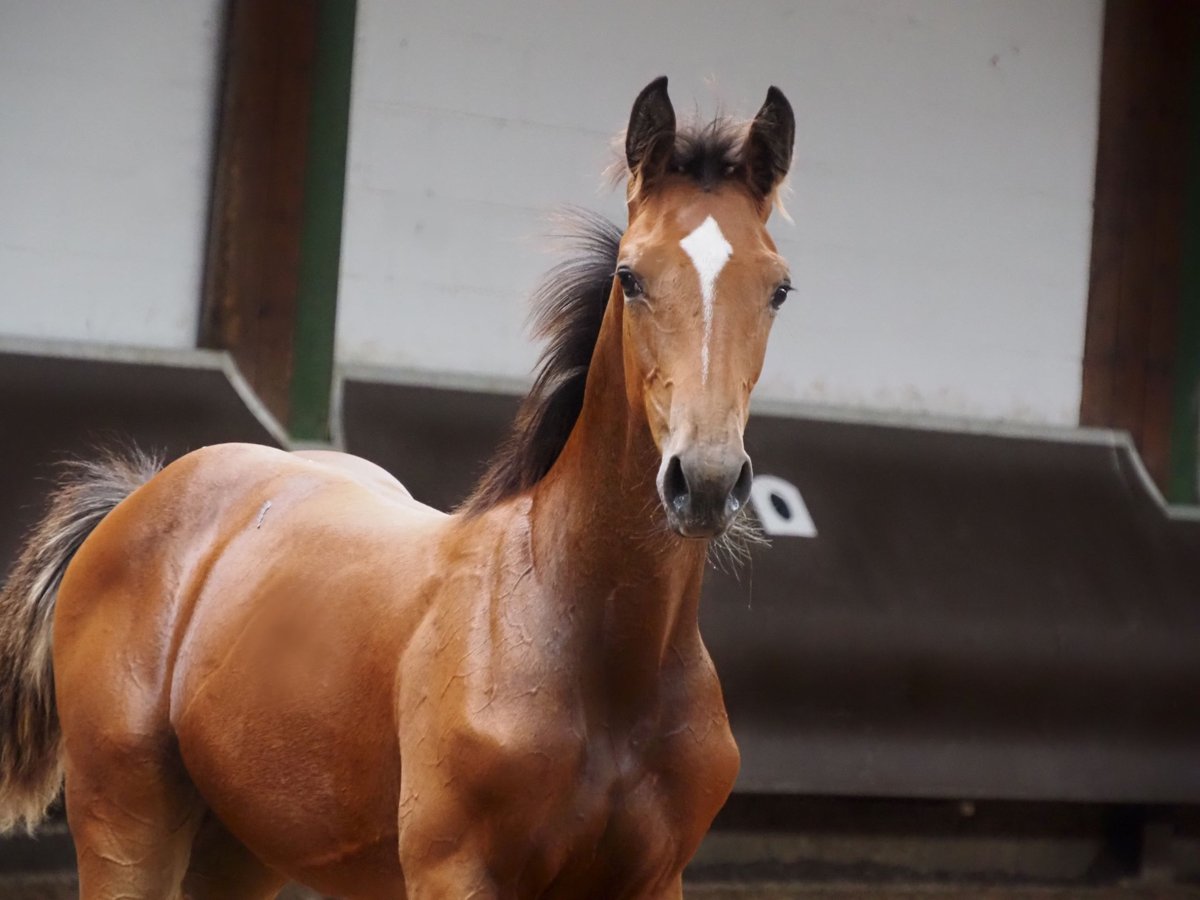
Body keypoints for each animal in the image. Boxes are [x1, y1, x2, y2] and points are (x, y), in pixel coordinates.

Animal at [0, 79, 792, 900]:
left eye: (779, 289)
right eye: (630, 277)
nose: (705, 480)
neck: (595, 653)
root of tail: (141, 491)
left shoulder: (653, 880)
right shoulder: (454, 872)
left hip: (241, 845)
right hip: (125, 822)